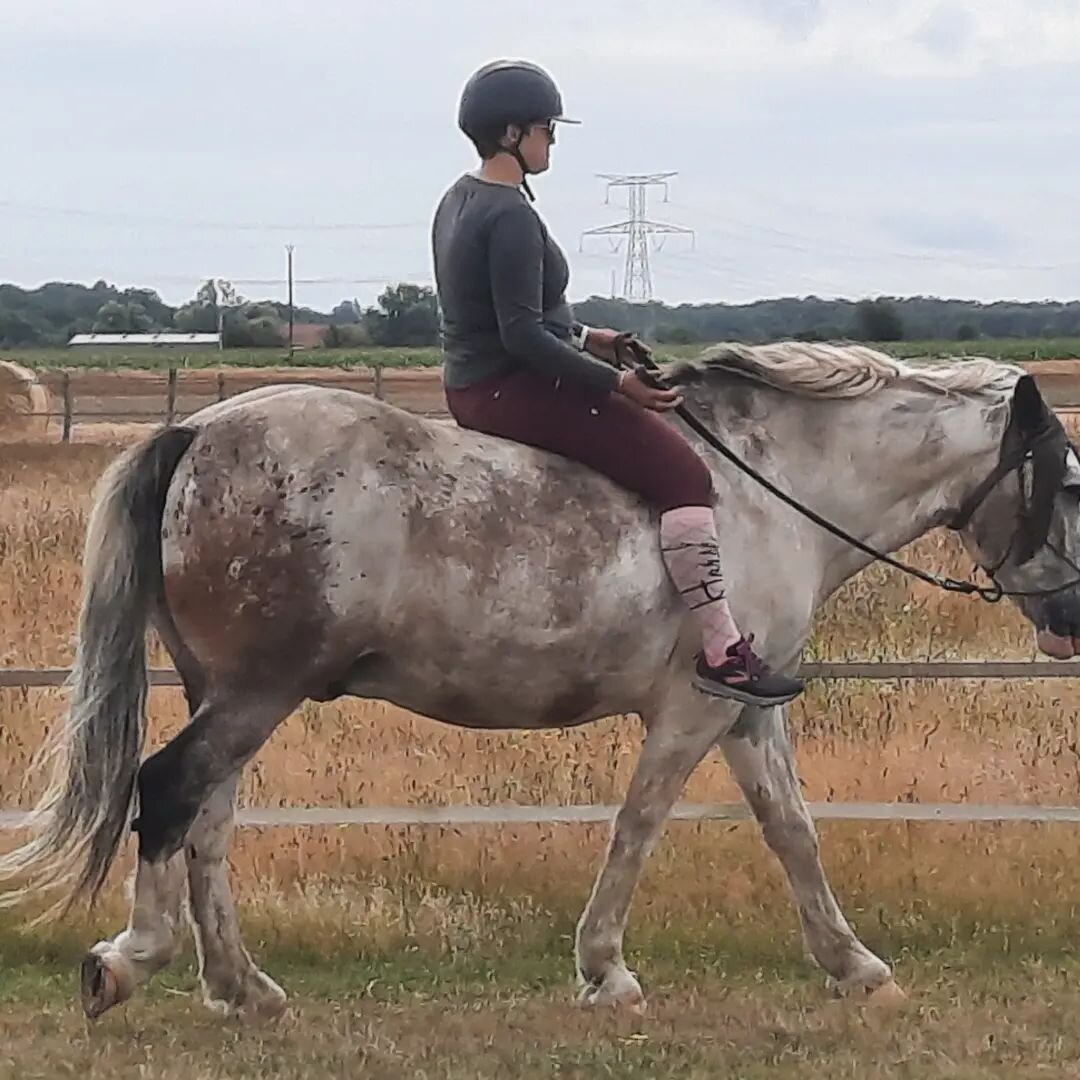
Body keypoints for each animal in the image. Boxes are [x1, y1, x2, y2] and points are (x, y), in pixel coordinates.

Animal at [2, 345, 1080, 1019]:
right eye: (1068, 482)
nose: (1071, 619)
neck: (774, 493)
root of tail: (197, 432)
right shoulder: (693, 708)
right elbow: (638, 826)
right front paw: (605, 972)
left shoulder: (744, 710)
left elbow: (793, 831)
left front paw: (856, 967)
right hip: (257, 692)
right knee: (169, 792)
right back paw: (128, 964)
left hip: (231, 695)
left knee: (208, 821)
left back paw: (244, 989)